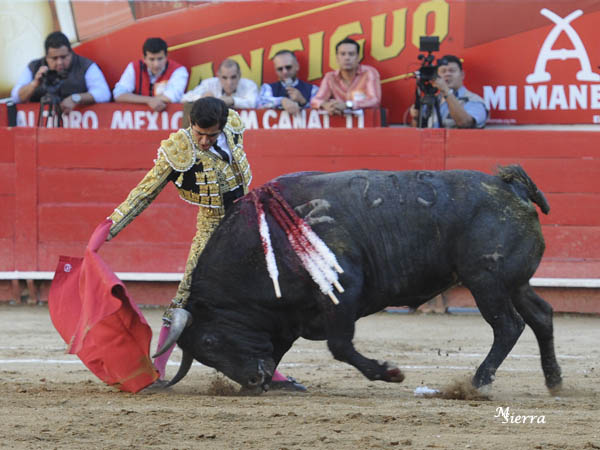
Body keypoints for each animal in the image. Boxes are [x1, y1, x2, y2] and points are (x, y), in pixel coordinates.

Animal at [156, 166, 564, 394]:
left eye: (209, 341)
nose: (253, 383)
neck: (263, 243)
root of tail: (511, 186)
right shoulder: (290, 317)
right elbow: (282, 347)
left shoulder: (342, 292)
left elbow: (340, 346)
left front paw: (389, 373)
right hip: (513, 283)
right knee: (541, 316)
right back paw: (554, 380)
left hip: (486, 281)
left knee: (508, 326)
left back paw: (478, 382)